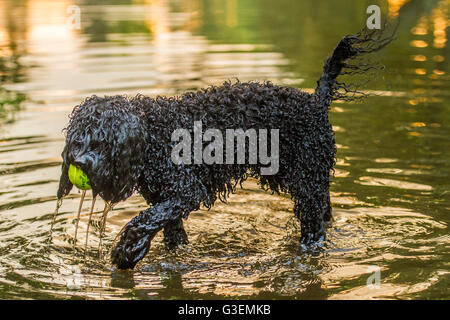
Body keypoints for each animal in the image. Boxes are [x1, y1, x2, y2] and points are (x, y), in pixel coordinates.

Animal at [56, 27, 392, 268]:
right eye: (77, 139)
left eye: (103, 140)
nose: (81, 163)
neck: (153, 135)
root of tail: (316, 100)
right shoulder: (168, 199)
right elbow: (166, 227)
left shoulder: (185, 191)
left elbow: (144, 219)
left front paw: (127, 250)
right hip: (313, 182)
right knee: (324, 213)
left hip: (308, 186)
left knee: (314, 228)